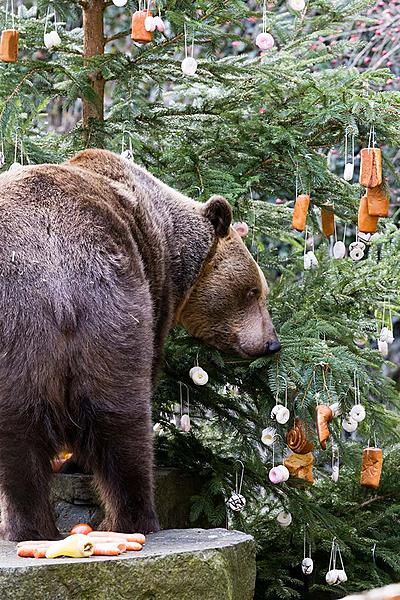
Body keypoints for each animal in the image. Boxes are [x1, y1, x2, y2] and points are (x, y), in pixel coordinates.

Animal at [0, 148, 280, 540]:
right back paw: (125, 520)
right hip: (110, 309)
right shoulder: (156, 289)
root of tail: (57, 275)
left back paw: (33, 528)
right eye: (252, 292)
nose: (272, 343)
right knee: (122, 418)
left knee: (27, 431)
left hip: (33, 329)